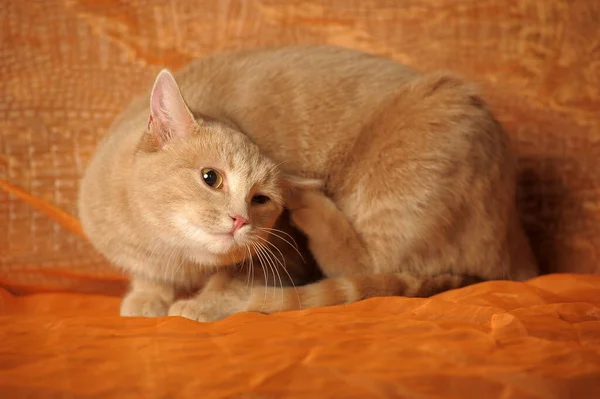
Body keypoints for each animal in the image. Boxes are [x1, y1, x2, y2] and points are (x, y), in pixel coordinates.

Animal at [78, 45, 540, 324]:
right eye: (211, 178)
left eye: (261, 200)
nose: (239, 221)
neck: (177, 258)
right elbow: (147, 277)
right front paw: (148, 297)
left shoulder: (282, 256)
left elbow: (234, 283)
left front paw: (206, 303)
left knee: (364, 264)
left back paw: (309, 198)